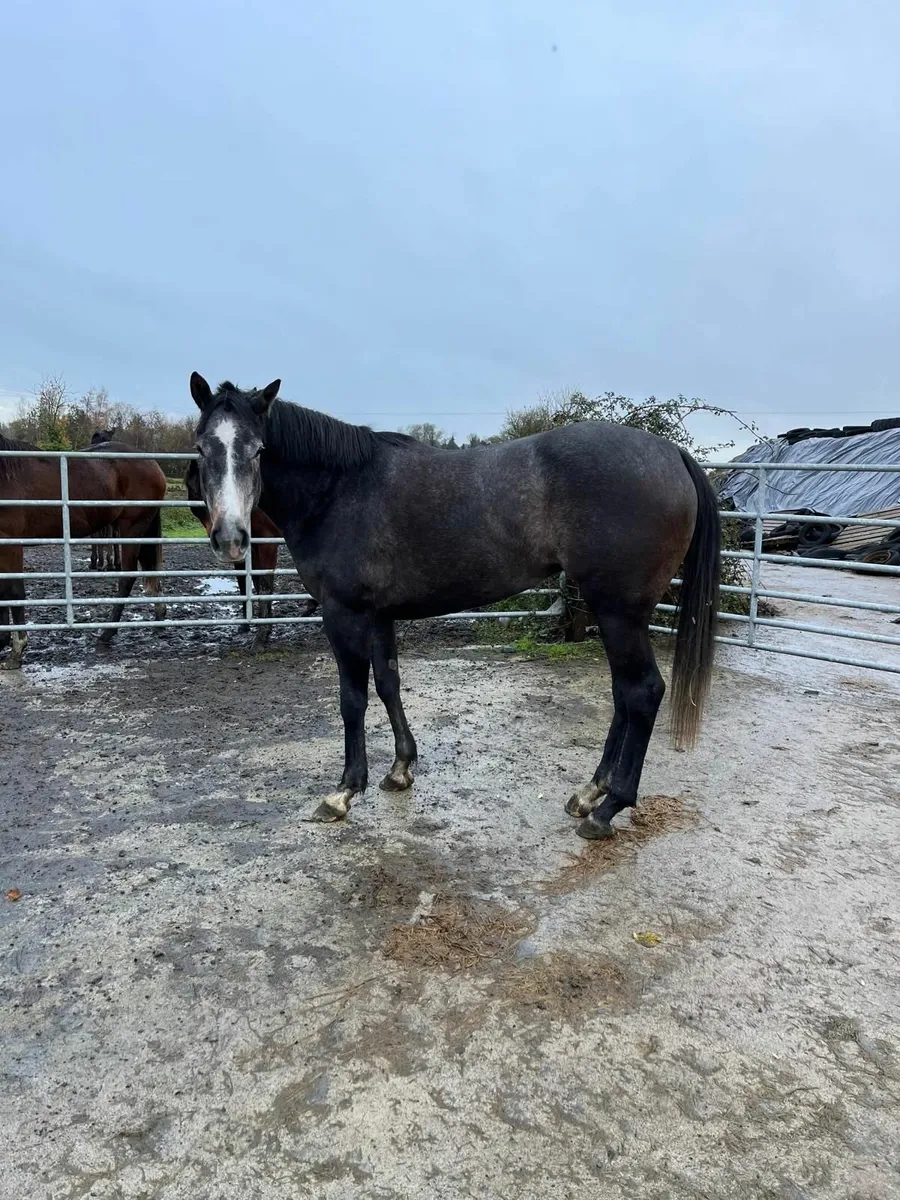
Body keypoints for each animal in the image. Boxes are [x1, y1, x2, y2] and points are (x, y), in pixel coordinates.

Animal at [0, 433, 168, 668]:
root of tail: (152, 463)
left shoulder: (10, 543)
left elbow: (13, 592)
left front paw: (16, 650)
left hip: (131, 527)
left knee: (127, 577)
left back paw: (106, 634)